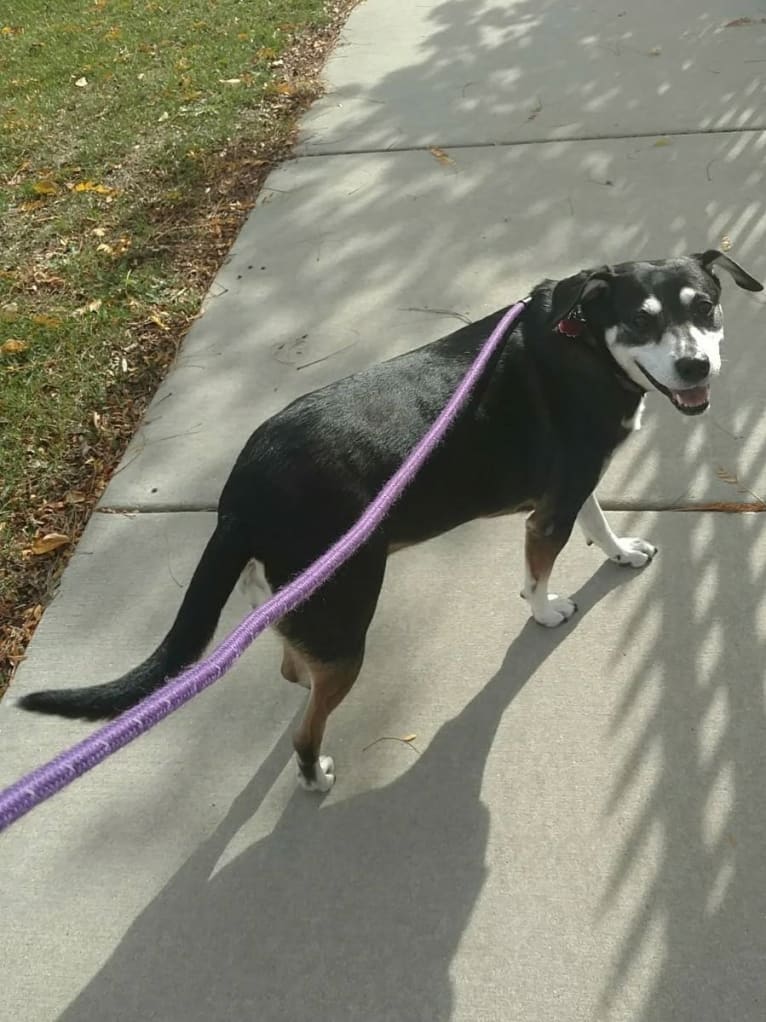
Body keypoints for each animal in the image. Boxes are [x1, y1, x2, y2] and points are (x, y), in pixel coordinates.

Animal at [18, 249, 763, 788]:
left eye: (706, 306)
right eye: (640, 320)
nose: (695, 364)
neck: (586, 342)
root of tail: (239, 499)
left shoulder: (573, 486)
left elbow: (600, 524)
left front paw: (623, 553)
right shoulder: (551, 508)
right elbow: (540, 572)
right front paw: (547, 610)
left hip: (310, 611)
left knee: (294, 671)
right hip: (346, 616)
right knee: (309, 714)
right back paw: (314, 772)